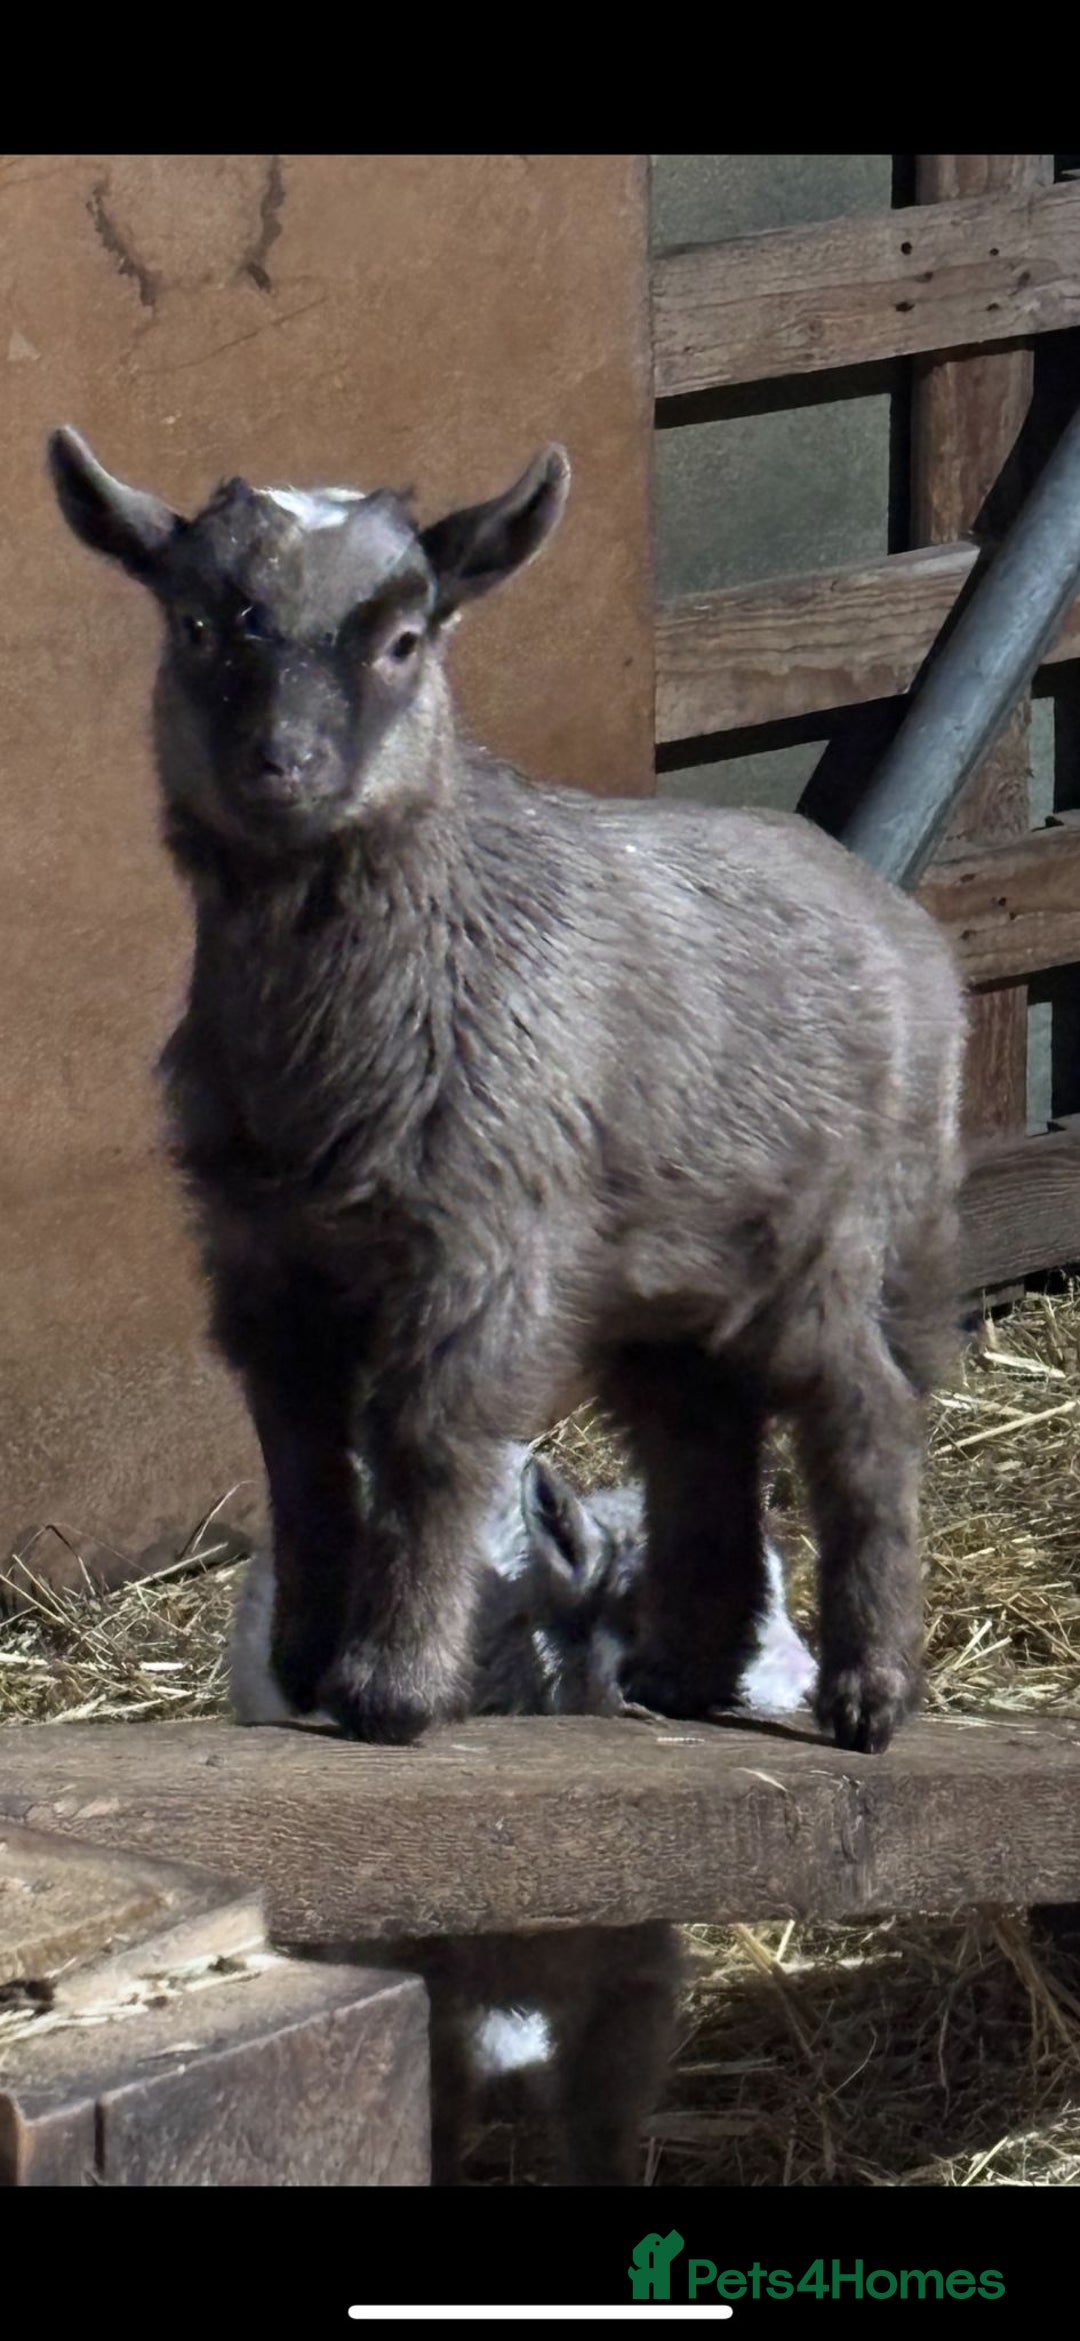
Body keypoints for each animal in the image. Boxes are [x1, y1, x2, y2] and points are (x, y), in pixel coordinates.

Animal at [48, 427, 966, 1754]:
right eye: (201, 625)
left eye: (403, 637)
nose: (284, 766)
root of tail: (903, 926)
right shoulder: (262, 1250)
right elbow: (299, 1447)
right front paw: (304, 1659)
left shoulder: (484, 1236)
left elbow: (429, 1438)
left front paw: (392, 1687)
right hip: (669, 1256)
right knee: (698, 1429)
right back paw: (688, 1669)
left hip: (840, 1228)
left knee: (865, 1419)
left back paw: (870, 1689)